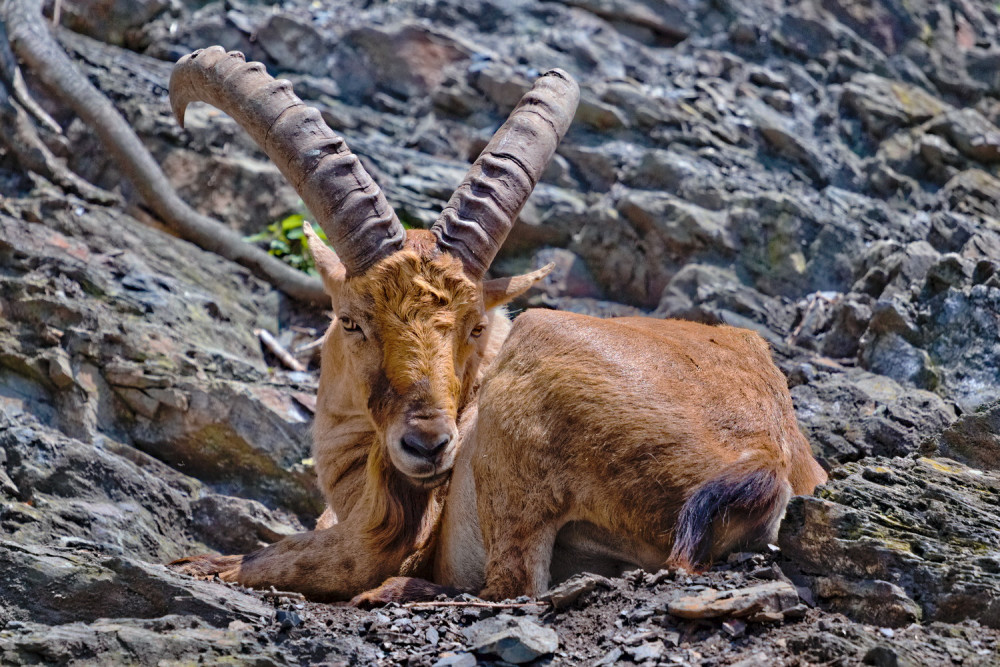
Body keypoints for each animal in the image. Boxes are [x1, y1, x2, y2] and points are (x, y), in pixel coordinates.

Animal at [172, 45, 828, 600]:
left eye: (475, 326)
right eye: (352, 321)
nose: (430, 445)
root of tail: (757, 457)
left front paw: (201, 563)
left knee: (507, 585)